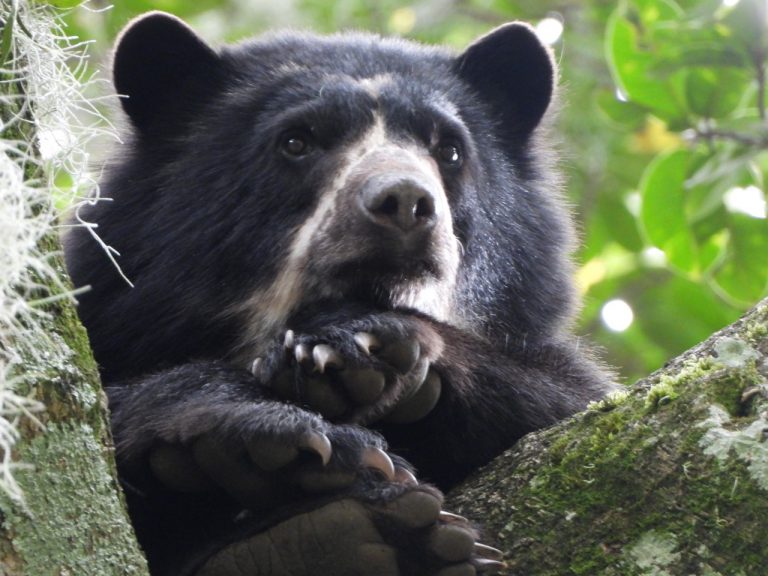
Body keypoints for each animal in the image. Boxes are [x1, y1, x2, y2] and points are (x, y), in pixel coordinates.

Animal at [64, 12, 616, 576]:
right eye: (296, 142)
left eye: (450, 150)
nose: (404, 201)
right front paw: (270, 429)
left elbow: (569, 402)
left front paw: (360, 346)